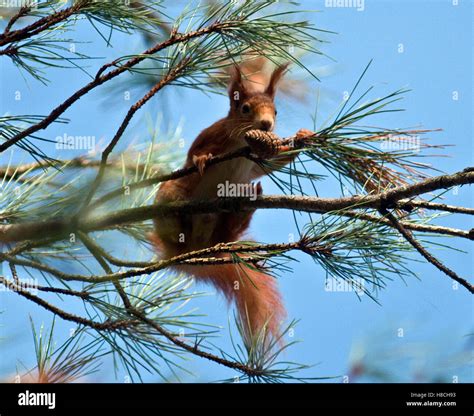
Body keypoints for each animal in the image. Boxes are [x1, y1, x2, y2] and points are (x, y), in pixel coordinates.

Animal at [152, 59, 312, 344]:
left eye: (276, 110)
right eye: (245, 108)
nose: (266, 125)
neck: (240, 141)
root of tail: (191, 252)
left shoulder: (254, 162)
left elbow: (269, 164)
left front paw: (302, 137)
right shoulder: (212, 134)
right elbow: (195, 152)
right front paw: (202, 160)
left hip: (221, 225)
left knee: (226, 230)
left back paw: (246, 205)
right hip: (171, 199)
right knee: (172, 217)